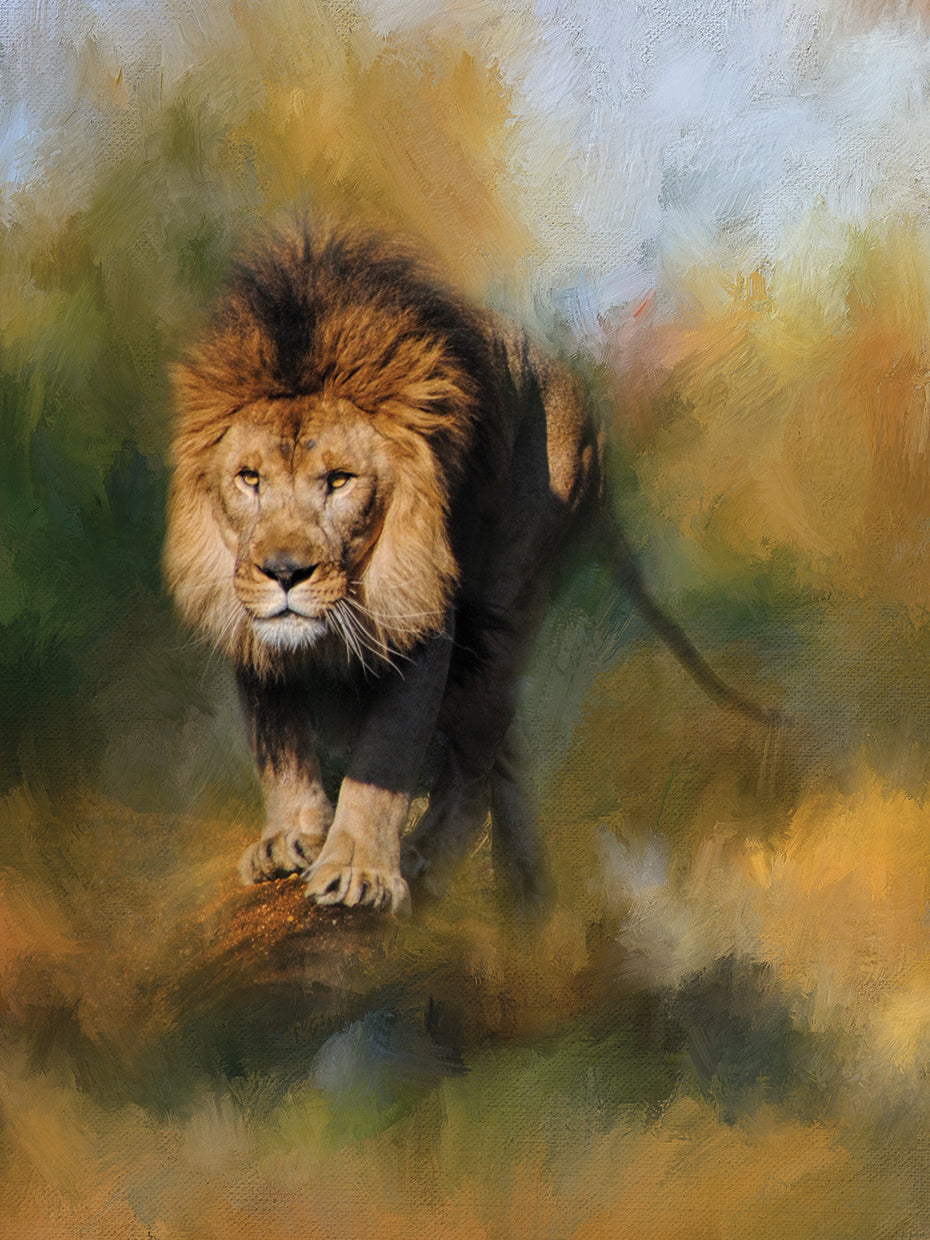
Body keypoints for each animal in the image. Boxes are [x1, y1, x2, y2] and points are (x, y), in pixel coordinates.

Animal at [164, 221, 770, 914]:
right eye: (249, 478)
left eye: (339, 480)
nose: (284, 573)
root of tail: (594, 426)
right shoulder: (251, 628)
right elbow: (281, 744)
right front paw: (288, 838)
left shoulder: (423, 613)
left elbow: (386, 754)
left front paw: (359, 871)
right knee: (503, 762)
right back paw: (523, 899)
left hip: (503, 614)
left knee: (478, 764)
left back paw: (429, 860)